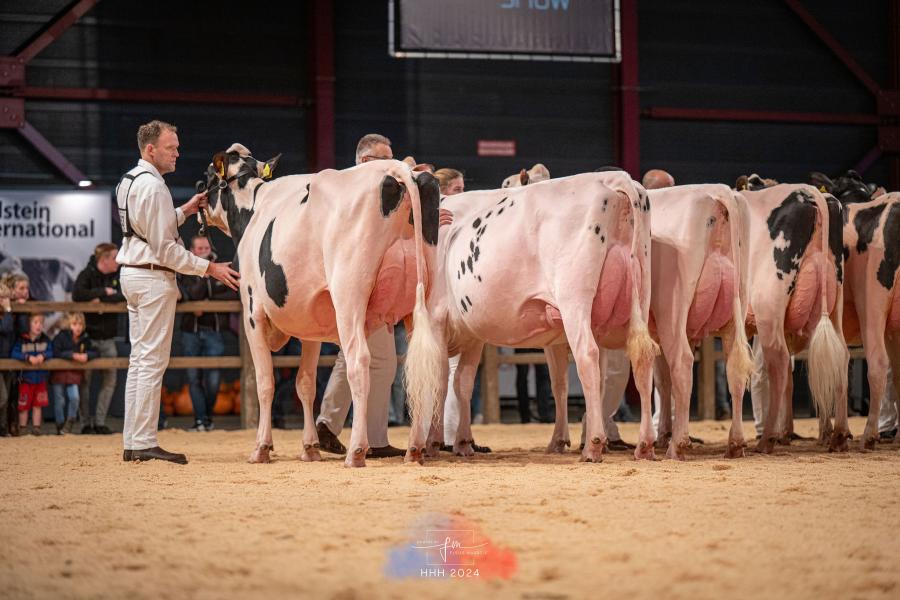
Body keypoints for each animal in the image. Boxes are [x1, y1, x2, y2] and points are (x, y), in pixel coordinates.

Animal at [202, 145, 444, 468]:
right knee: (424, 367)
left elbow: (265, 382)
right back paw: (414, 449)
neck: (254, 208)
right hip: (422, 300)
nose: (198, 194)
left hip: (349, 295)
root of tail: (397, 169)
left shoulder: (252, 312)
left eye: (208, 176)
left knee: (359, 362)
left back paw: (357, 451)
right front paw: (310, 447)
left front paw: (261, 448)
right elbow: (305, 383)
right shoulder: (309, 324)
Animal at [426, 171, 656, 462]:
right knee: (641, 357)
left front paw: (433, 442)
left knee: (587, 355)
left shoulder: (436, 320)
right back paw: (644, 444)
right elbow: (556, 383)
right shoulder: (480, 334)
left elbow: (439, 380)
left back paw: (594, 445)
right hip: (639, 295)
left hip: (574, 300)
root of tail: (612, 178)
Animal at [648, 185, 752, 458]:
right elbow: (663, 381)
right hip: (736, 305)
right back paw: (735, 443)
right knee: (734, 366)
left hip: (673, 308)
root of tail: (718, 191)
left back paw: (677, 445)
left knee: (683, 362)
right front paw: (663, 433)